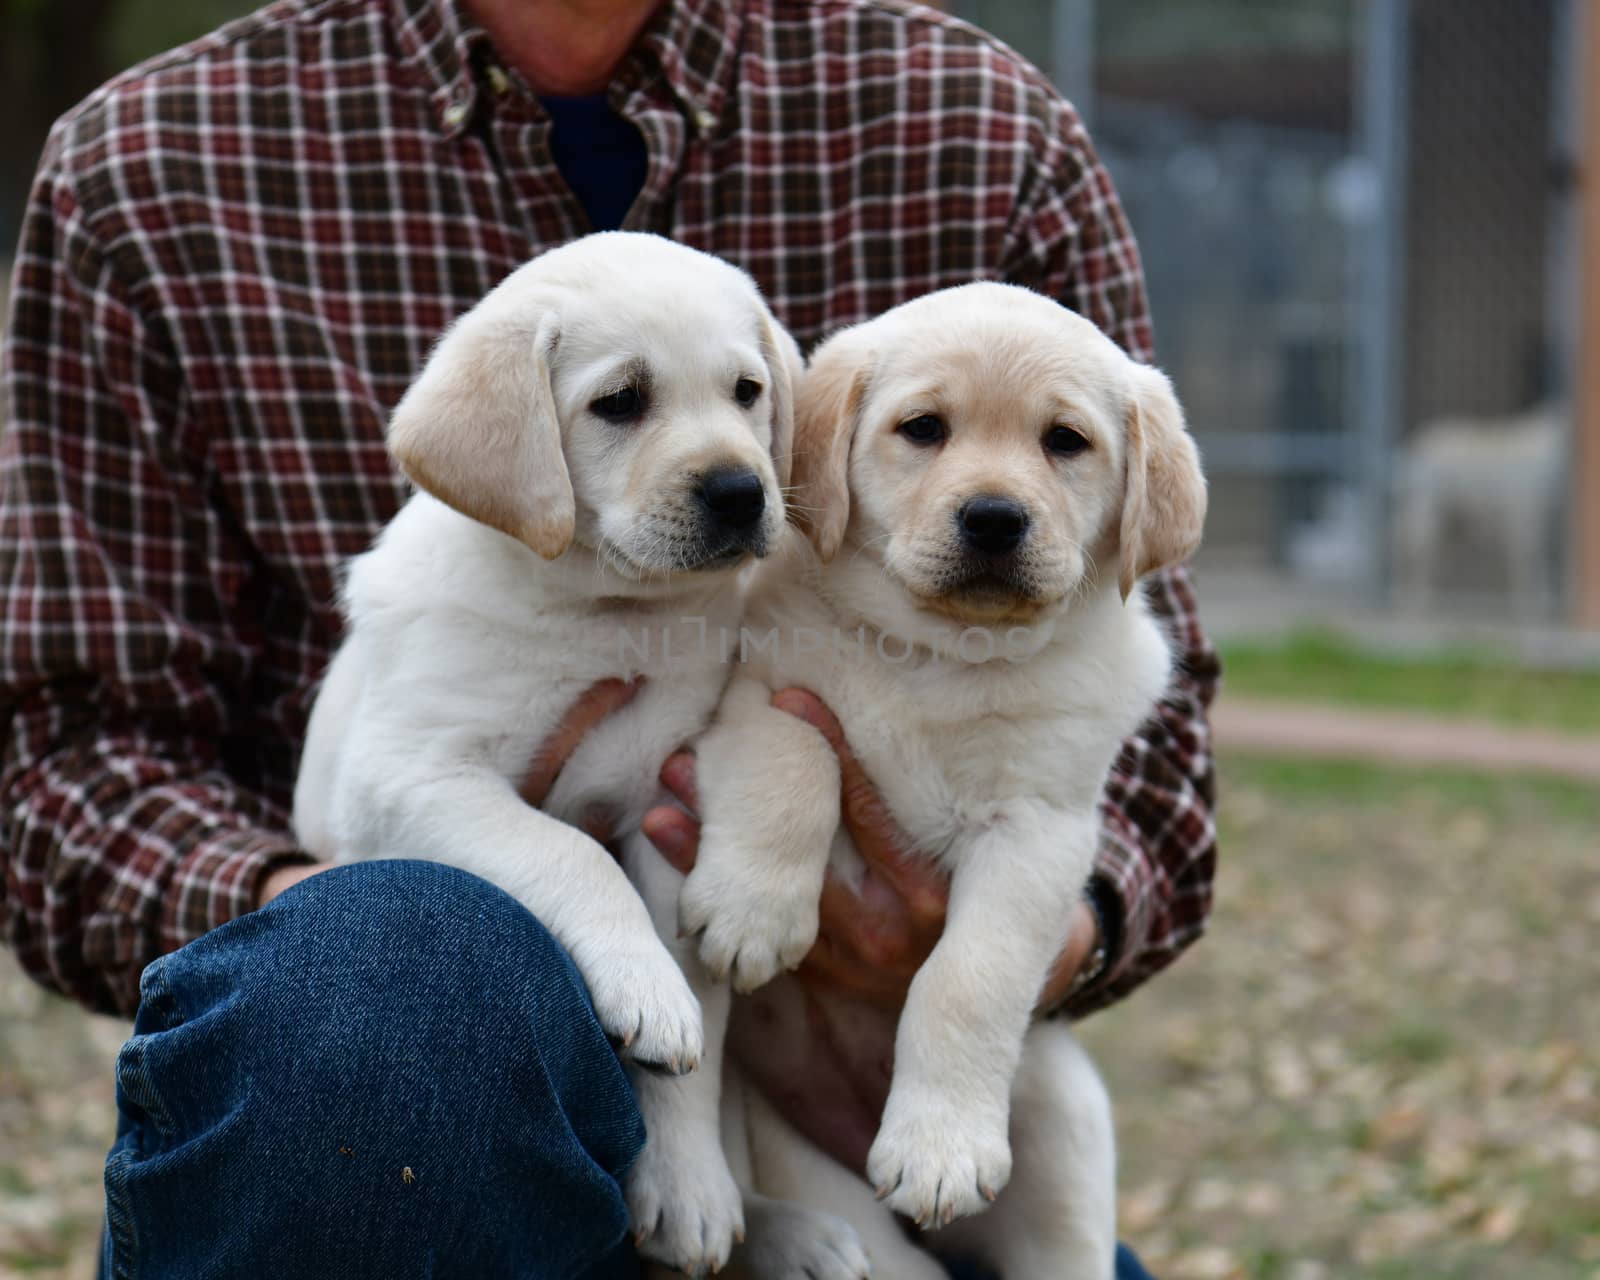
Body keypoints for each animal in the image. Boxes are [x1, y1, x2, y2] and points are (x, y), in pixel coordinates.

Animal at [684, 283, 1203, 1280]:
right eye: (923, 428)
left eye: (1065, 441)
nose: (995, 516)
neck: (943, 656)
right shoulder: (762, 695)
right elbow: (796, 764)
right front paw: (751, 912)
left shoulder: (1038, 830)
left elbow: (967, 977)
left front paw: (940, 1147)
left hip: (1062, 1123)